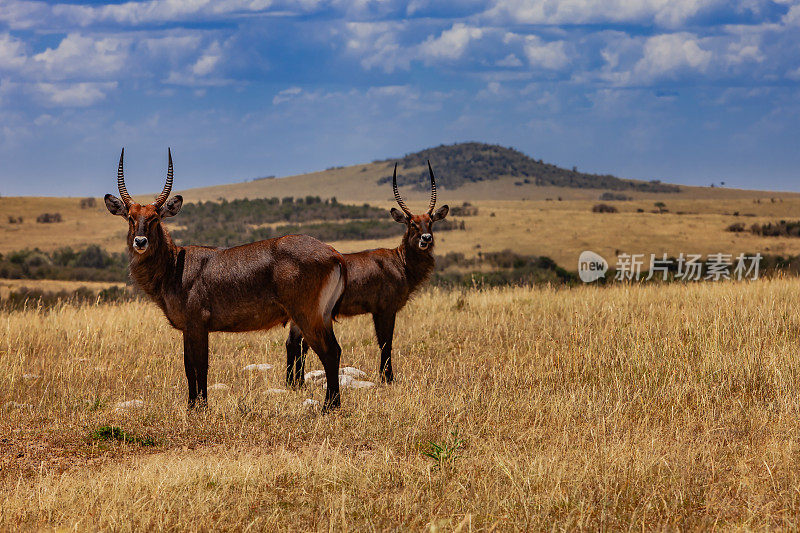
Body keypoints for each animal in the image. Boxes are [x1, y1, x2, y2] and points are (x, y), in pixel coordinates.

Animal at [103, 151, 346, 412]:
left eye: (155, 218)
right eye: (130, 217)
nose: (140, 241)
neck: (175, 266)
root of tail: (333, 253)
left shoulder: (198, 324)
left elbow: (200, 365)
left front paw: (201, 407)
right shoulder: (188, 328)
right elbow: (188, 366)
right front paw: (192, 405)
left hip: (307, 315)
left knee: (329, 352)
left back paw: (328, 407)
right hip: (320, 316)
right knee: (333, 350)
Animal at [286, 160, 450, 384]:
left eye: (430, 222)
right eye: (412, 223)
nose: (426, 238)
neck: (400, 262)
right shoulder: (385, 310)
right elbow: (386, 343)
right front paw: (388, 379)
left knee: (294, 343)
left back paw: (295, 383)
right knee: (299, 344)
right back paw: (296, 382)